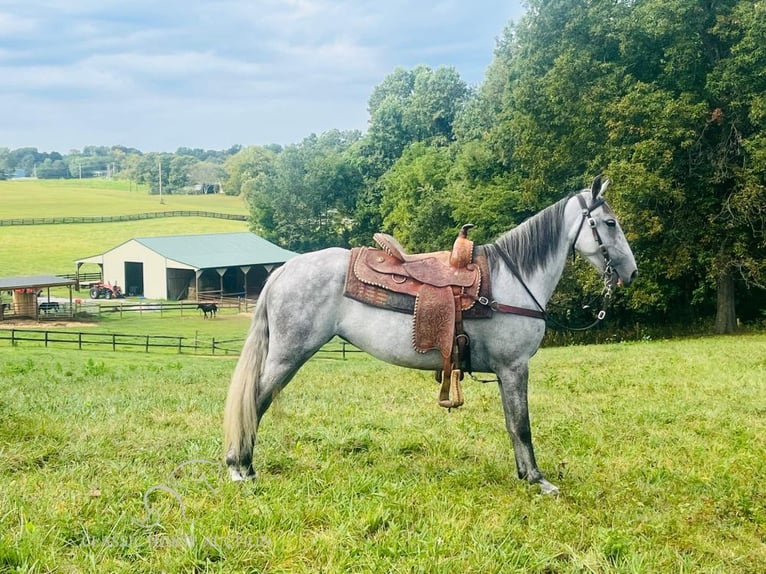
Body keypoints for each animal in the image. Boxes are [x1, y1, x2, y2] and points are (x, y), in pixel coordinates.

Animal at [225, 176, 640, 496]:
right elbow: (521, 425)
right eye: (610, 222)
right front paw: (539, 481)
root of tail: (284, 268)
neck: (514, 279)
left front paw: (525, 475)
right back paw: (238, 468)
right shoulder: (514, 367)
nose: (632, 272)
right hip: (288, 355)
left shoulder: (507, 372)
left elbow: (512, 424)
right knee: (255, 401)